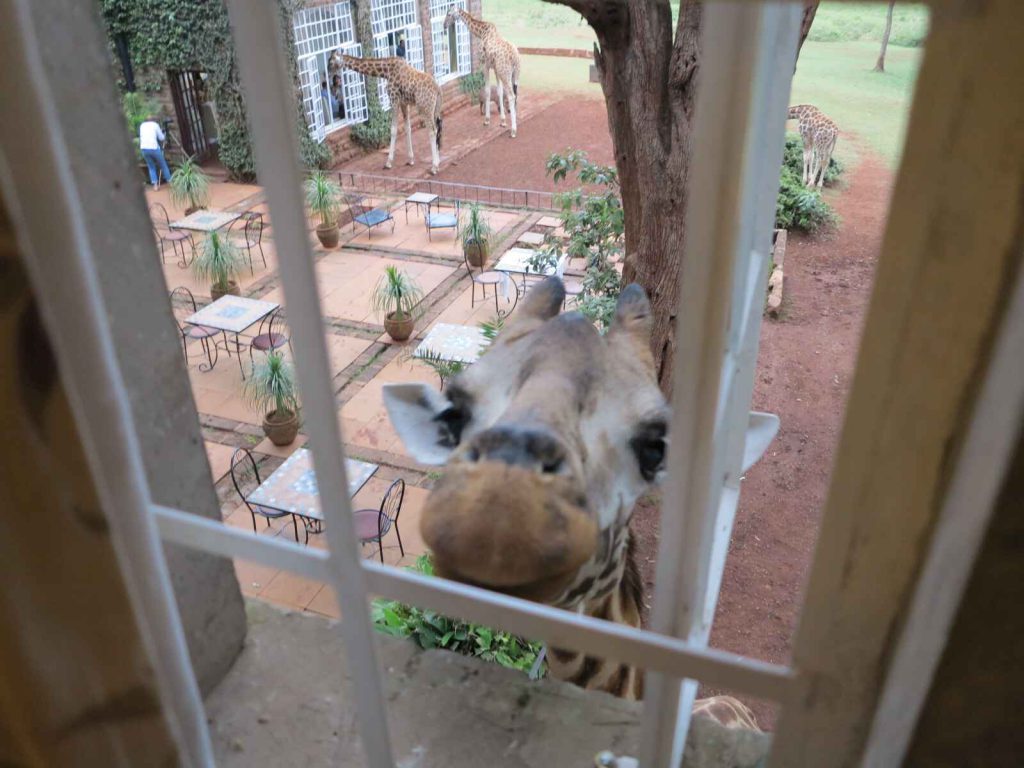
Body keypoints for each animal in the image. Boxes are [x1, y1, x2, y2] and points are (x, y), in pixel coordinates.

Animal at [444, 6, 521, 137]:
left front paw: (487, 120)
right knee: (515, 94)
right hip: (514, 74)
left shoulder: (485, 65)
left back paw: (514, 131)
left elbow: (488, 90)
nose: (444, 25)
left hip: (505, 73)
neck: (481, 32)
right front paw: (502, 121)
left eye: (449, 14)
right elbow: (499, 92)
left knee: (511, 95)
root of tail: (515, 57)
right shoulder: (495, 69)